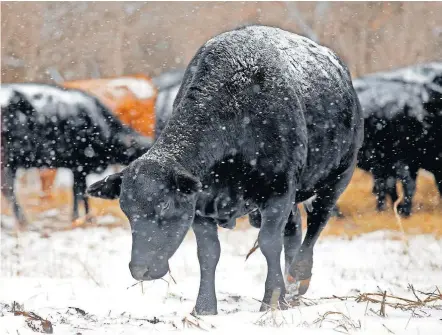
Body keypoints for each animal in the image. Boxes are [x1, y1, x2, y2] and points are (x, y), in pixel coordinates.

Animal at [0, 82, 152, 227]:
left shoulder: (78, 169)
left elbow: (80, 192)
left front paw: (82, 218)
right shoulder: (79, 166)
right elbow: (80, 194)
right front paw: (82, 218)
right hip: (8, 161)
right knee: (8, 189)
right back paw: (22, 221)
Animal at [86, 25, 362, 316]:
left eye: (165, 206)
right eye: (126, 210)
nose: (140, 270)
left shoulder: (279, 191)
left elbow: (269, 243)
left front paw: (271, 300)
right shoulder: (200, 205)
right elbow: (208, 253)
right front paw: (205, 307)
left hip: (337, 178)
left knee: (316, 223)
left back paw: (298, 278)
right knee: (294, 229)